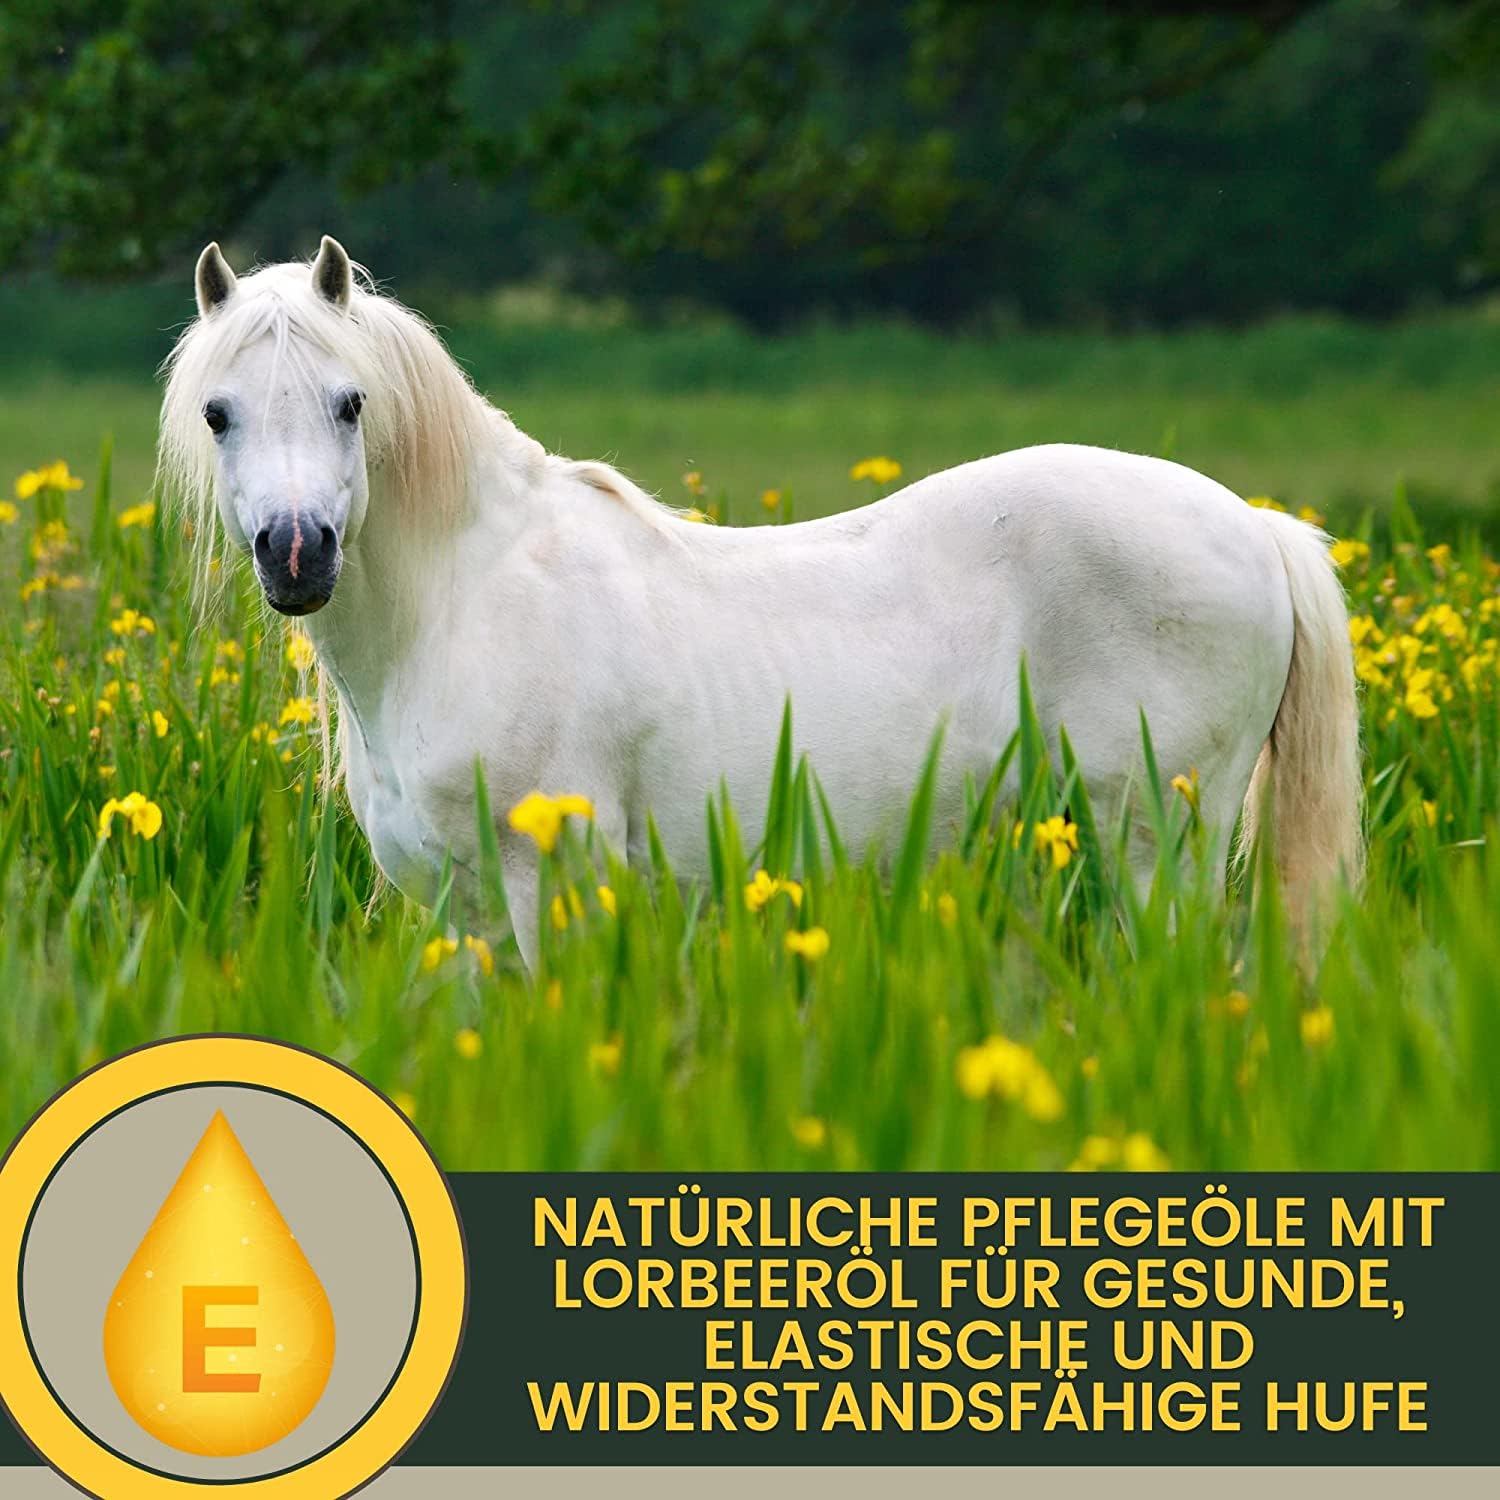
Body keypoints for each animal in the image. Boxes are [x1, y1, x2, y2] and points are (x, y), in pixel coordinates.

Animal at [159, 236, 1362, 969]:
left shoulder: (546, 888)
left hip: (1159, 843)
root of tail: (1258, 528)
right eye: (219, 413)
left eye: (351, 402)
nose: (298, 554)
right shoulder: (463, 914)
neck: (463, 607)